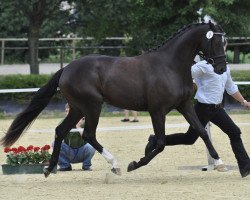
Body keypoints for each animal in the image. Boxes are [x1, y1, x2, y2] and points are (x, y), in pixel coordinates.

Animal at [0, 21, 227, 178]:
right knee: (88, 134)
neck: (170, 66)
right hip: (92, 106)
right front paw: (135, 164)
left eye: (224, 42)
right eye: (215, 41)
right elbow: (161, 142)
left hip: (77, 109)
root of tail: (66, 69)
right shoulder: (157, 110)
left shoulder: (185, 105)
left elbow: (201, 132)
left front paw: (220, 162)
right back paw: (115, 165)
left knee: (61, 131)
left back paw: (49, 169)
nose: (221, 68)